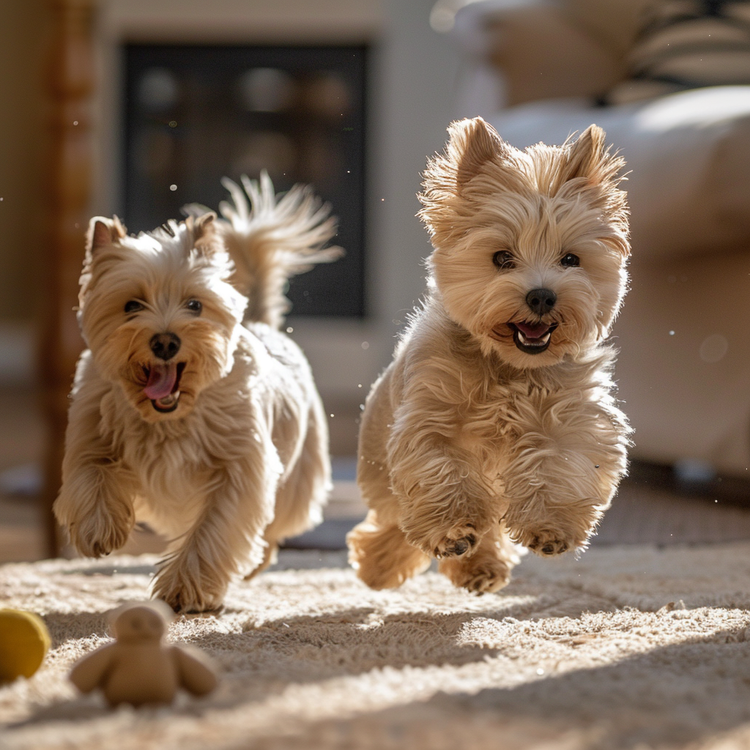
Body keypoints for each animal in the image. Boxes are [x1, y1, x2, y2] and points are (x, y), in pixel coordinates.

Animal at [55, 178, 340, 616]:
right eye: (131, 305)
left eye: (194, 304)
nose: (165, 341)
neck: (171, 417)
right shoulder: (91, 435)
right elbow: (92, 476)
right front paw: (98, 529)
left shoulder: (240, 471)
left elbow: (214, 531)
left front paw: (183, 590)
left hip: (298, 483)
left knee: (276, 525)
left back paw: (258, 561)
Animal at [350, 117, 632, 596]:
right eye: (502, 257)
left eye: (570, 259)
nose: (542, 295)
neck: (508, 367)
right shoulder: (431, 420)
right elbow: (442, 472)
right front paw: (452, 528)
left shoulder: (571, 422)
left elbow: (558, 463)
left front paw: (549, 527)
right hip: (379, 468)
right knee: (395, 519)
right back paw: (382, 565)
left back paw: (479, 566)